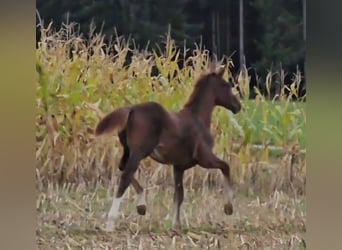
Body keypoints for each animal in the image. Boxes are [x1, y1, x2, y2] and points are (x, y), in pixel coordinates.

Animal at [95, 66, 242, 230]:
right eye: (227, 85)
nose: (238, 106)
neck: (198, 119)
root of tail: (132, 109)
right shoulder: (205, 158)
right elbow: (225, 166)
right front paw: (228, 207)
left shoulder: (178, 166)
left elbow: (179, 194)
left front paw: (175, 225)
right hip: (139, 152)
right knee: (126, 175)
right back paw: (111, 222)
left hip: (127, 150)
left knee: (122, 168)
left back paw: (141, 207)